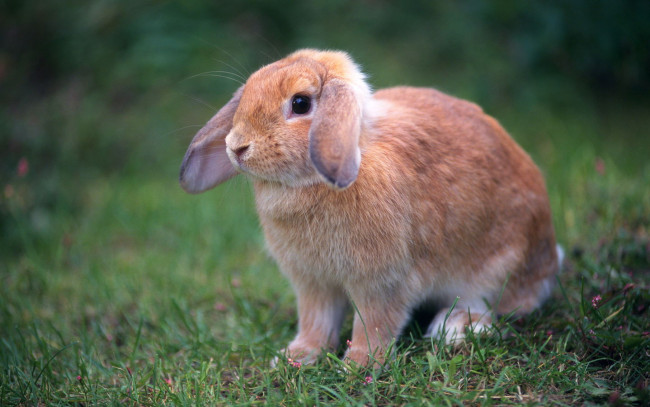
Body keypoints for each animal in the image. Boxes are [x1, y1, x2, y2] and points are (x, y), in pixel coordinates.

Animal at [178, 49, 560, 368]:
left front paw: (360, 365)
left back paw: (452, 329)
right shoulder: (313, 283)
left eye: (300, 103)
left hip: (497, 266)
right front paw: (296, 357)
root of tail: (549, 260)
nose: (236, 146)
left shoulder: (382, 281)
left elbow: (374, 324)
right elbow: (316, 322)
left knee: (495, 306)